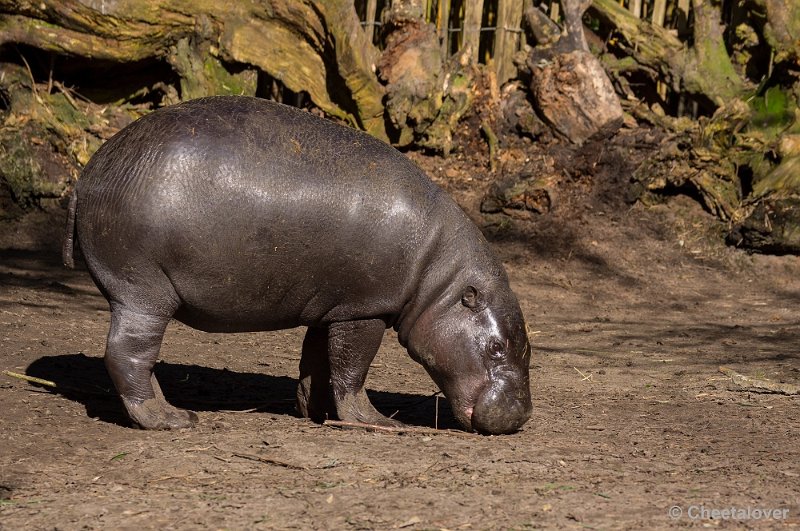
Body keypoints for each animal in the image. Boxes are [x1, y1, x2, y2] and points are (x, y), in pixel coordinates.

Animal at [64, 96, 532, 436]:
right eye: (496, 347)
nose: (523, 414)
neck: (438, 278)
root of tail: (90, 172)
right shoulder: (364, 309)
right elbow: (351, 370)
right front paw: (375, 422)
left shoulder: (331, 307)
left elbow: (316, 362)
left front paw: (312, 411)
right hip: (143, 290)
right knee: (127, 353)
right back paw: (173, 420)